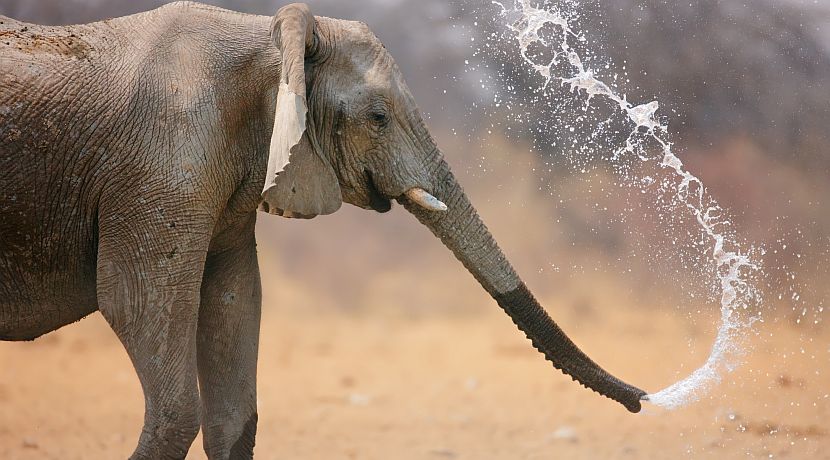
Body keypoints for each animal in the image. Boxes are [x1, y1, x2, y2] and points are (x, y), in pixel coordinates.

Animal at [0, 2, 646, 458]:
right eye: (378, 118)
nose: (645, 399)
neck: (269, 36)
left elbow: (234, 316)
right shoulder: (161, 167)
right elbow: (138, 308)